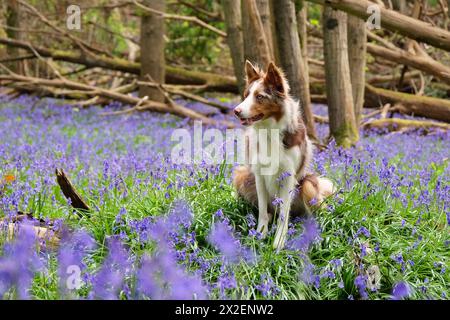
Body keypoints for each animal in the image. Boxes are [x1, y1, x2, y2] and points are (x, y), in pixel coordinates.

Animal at [232, 60, 334, 250]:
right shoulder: (259, 175)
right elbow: (263, 210)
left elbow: (283, 215)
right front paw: (260, 235)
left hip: (308, 185)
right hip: (242, 175)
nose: (236, 111)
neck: (269, 131)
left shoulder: (288, 177)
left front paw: (279, 242)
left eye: (259, 96)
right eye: (246, 95)